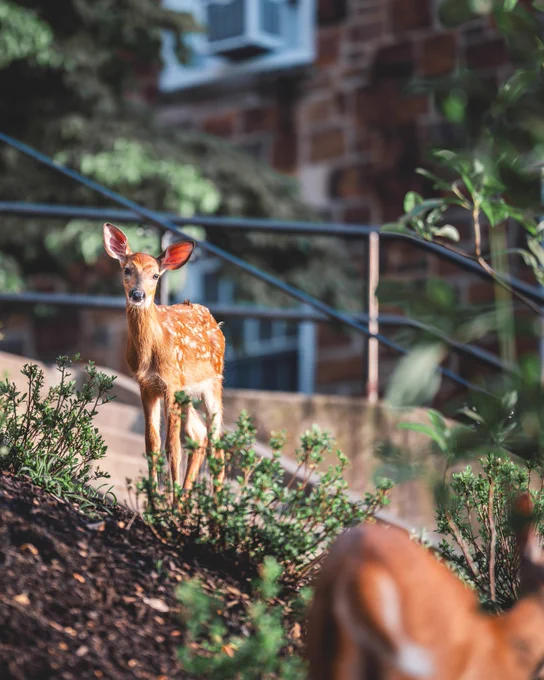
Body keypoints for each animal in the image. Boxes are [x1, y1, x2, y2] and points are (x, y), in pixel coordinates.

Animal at [103, 223, 225, 493]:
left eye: (156, 276)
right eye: (127, 269)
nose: (138, 295)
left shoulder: (171, 384)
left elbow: (173, 447)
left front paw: (170, 499)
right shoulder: (147, 385)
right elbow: (152, 444)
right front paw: (155, 499)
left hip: (214, 383)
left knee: (216, 442)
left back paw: (214, 502)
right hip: (188, 393)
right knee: (199, 435)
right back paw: (189, 498)